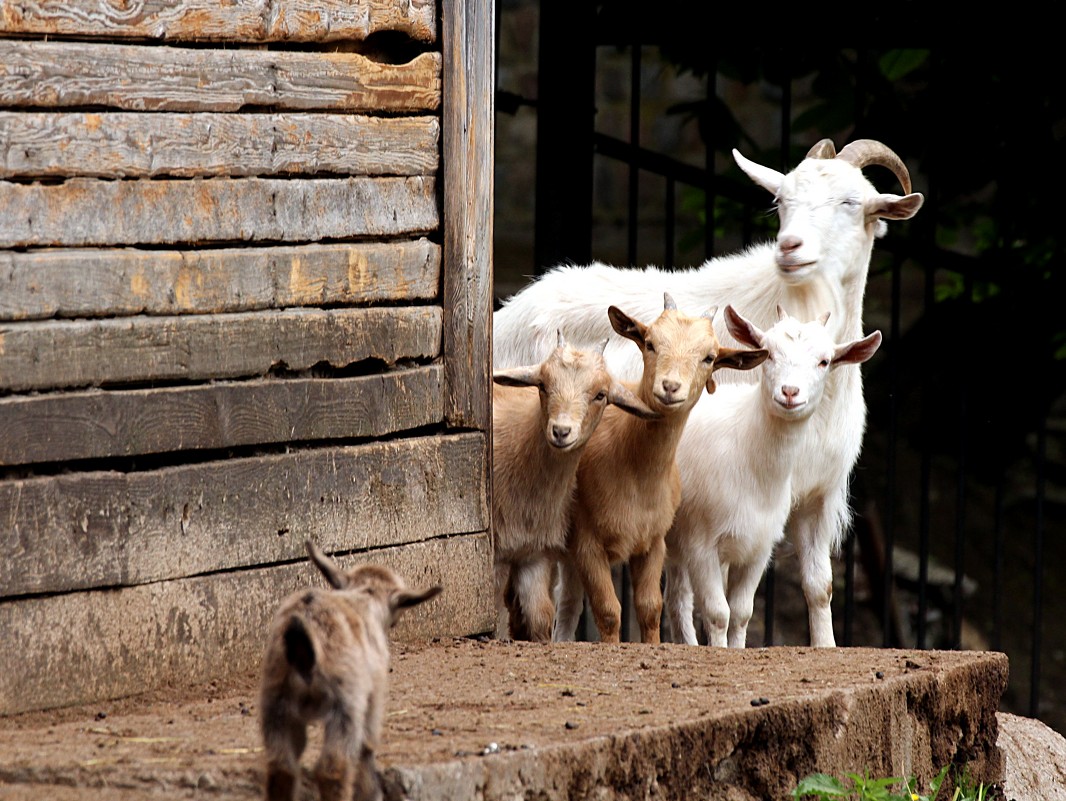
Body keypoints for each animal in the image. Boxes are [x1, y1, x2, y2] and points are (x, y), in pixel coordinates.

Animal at [494, 137, 921, 644]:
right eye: (781, 201)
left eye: (852, 202)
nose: (789, 247)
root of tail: (509, 309)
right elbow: (712, 601)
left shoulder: (814, 496)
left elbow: (819, 588)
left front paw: (825, 646)